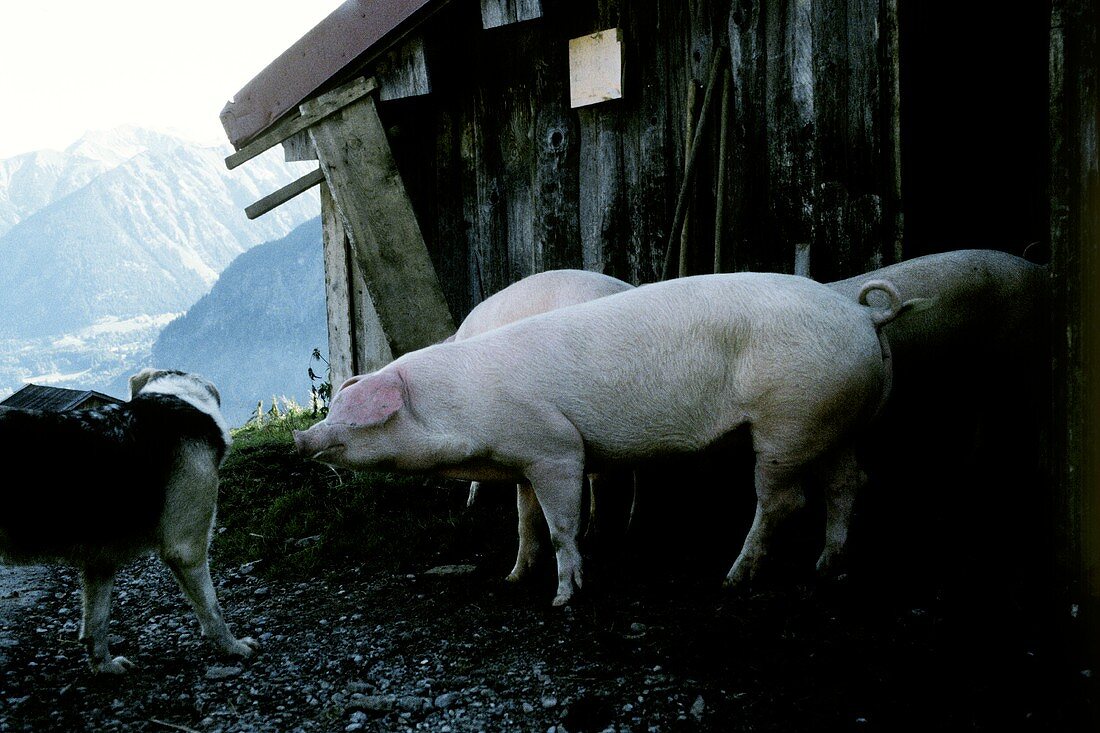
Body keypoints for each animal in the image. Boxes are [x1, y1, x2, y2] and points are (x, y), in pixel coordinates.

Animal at [0, 367, 256, 669]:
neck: (175, 396)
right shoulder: (186, 548)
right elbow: (212, 609)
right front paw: (233, 647)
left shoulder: (99, 561)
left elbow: (97, 621)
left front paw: (105, 667)